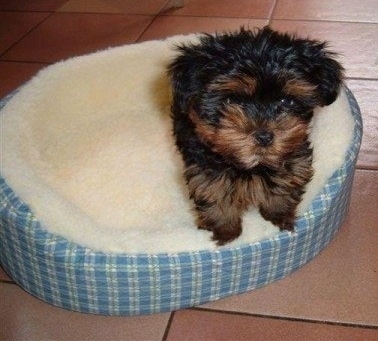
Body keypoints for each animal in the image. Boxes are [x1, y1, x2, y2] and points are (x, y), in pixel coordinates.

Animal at [167, 27, 344, 244]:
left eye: (287, 101)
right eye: (232, 100)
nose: (264, 136)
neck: (251, 166)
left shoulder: (294, 156)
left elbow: (284, 182)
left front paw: (279, 218)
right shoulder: (205, 168)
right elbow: (215, 194)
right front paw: (226, 233)